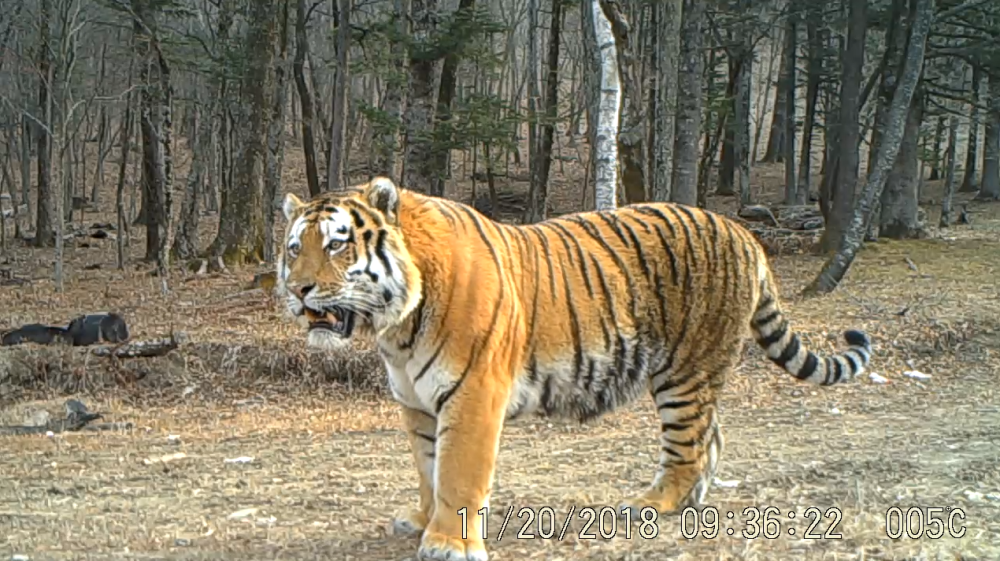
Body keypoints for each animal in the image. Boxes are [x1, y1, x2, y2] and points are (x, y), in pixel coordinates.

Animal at [278, 177, 872, 560]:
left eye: (337, 244)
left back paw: (654, 504)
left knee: (689, 445)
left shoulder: (473, 395)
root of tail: (744, 233)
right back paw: (691, 503)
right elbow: (429, 470)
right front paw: (425, 522)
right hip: (695, 373)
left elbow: (459, 472)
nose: (298, 290)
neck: (395, 328)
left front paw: (449, 544)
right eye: (293, 248)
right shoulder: (417, 404)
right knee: (713, 437)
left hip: (685, 370)